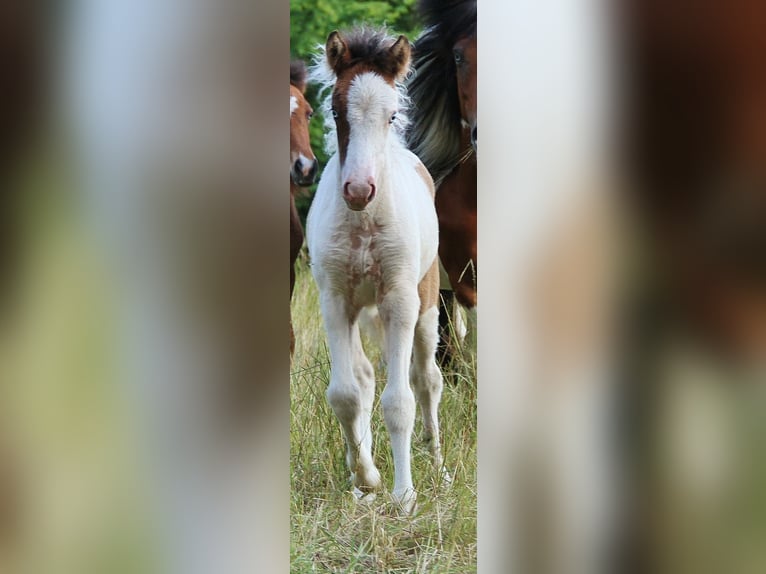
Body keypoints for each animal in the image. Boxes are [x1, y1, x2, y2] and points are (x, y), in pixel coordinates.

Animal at [307, 27, 443, 512]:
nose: (358, 190)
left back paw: (438, 467)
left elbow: (400, 400)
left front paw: (405, 496)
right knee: (365, 378)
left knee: (427, 381)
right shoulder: (335, 300)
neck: (364, 221)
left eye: (392, 115)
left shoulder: (398, 300)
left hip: (426, 304)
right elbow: (346, 394)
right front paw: (367, 478)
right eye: (335, 110)